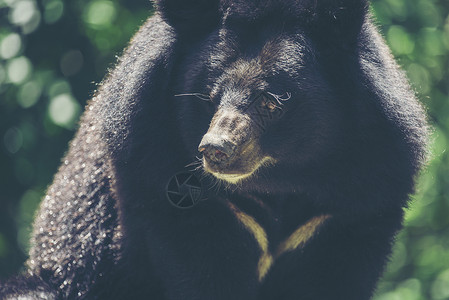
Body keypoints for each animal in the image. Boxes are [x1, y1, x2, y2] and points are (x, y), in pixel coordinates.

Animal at [0, 0, 428, 298]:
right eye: (210, 95)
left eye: (271, 101)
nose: (215, 149)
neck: (277, 181)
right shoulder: (164, 181)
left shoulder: (356, 201)